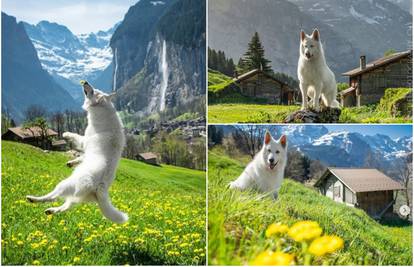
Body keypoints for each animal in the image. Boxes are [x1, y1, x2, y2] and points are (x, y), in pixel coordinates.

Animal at [26, 81, 127, 224]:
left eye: (93, 90)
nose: (85, 82)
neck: (103, 107)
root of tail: (100, 187)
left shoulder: (85, 140)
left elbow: (75, 137)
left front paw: (66, 134)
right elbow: (82, 157)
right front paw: (72, 162)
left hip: (65, 184)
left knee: (52, 196)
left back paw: (34, 199)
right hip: (77, 196)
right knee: (66, 206)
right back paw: (51, 211)